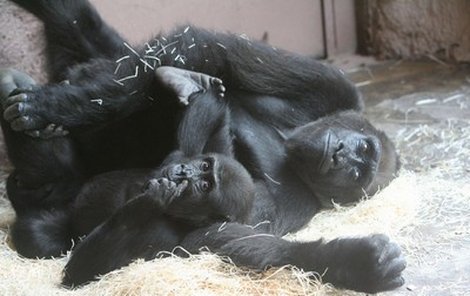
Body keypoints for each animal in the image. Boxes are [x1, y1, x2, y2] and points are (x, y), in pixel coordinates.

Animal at [0, 0, 404, 292]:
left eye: (359, 172)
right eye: (364, 152)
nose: (343, 157)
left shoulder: (289, 203)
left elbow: (231, 242)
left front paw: (352, 263)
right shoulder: (334, 90)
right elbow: (209, 50)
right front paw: (57, 105)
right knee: (99, 41)